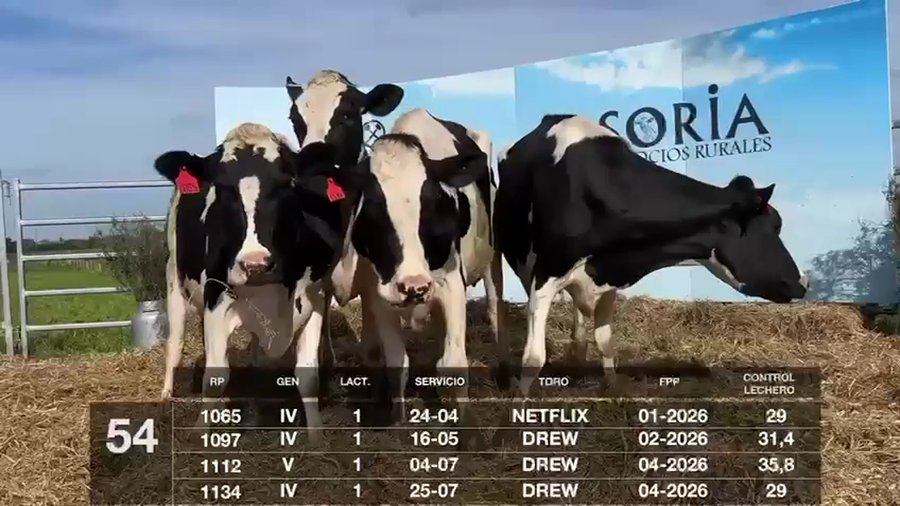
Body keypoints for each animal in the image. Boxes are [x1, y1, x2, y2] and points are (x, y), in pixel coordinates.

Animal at [155, 122, 359, 443]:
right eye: (221, 188)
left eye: (286, 184)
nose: (255, 264)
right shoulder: (216, 298)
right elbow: (215, 376)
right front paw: (202, 432)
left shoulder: (313, 300)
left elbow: (307, 376)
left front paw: (315, 435)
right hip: (174, 277)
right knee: (175, 343)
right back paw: (165, 394)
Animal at [333, 108, 505, 443]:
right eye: (372, 213)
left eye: (434, 205)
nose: (414, 286)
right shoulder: (381, 295)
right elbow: (397, 362)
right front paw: (397, 419)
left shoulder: (452, 285)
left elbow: (454, 363)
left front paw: (467, 430)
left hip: (493, 256)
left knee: (494, 305)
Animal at [493, 114, 809, 401]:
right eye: (774, 227)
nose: (804, 283)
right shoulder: (545, 275)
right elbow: (533, 358)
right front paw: (519, 407)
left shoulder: (609, 276)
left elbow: (605, 341)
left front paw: (614, 389)